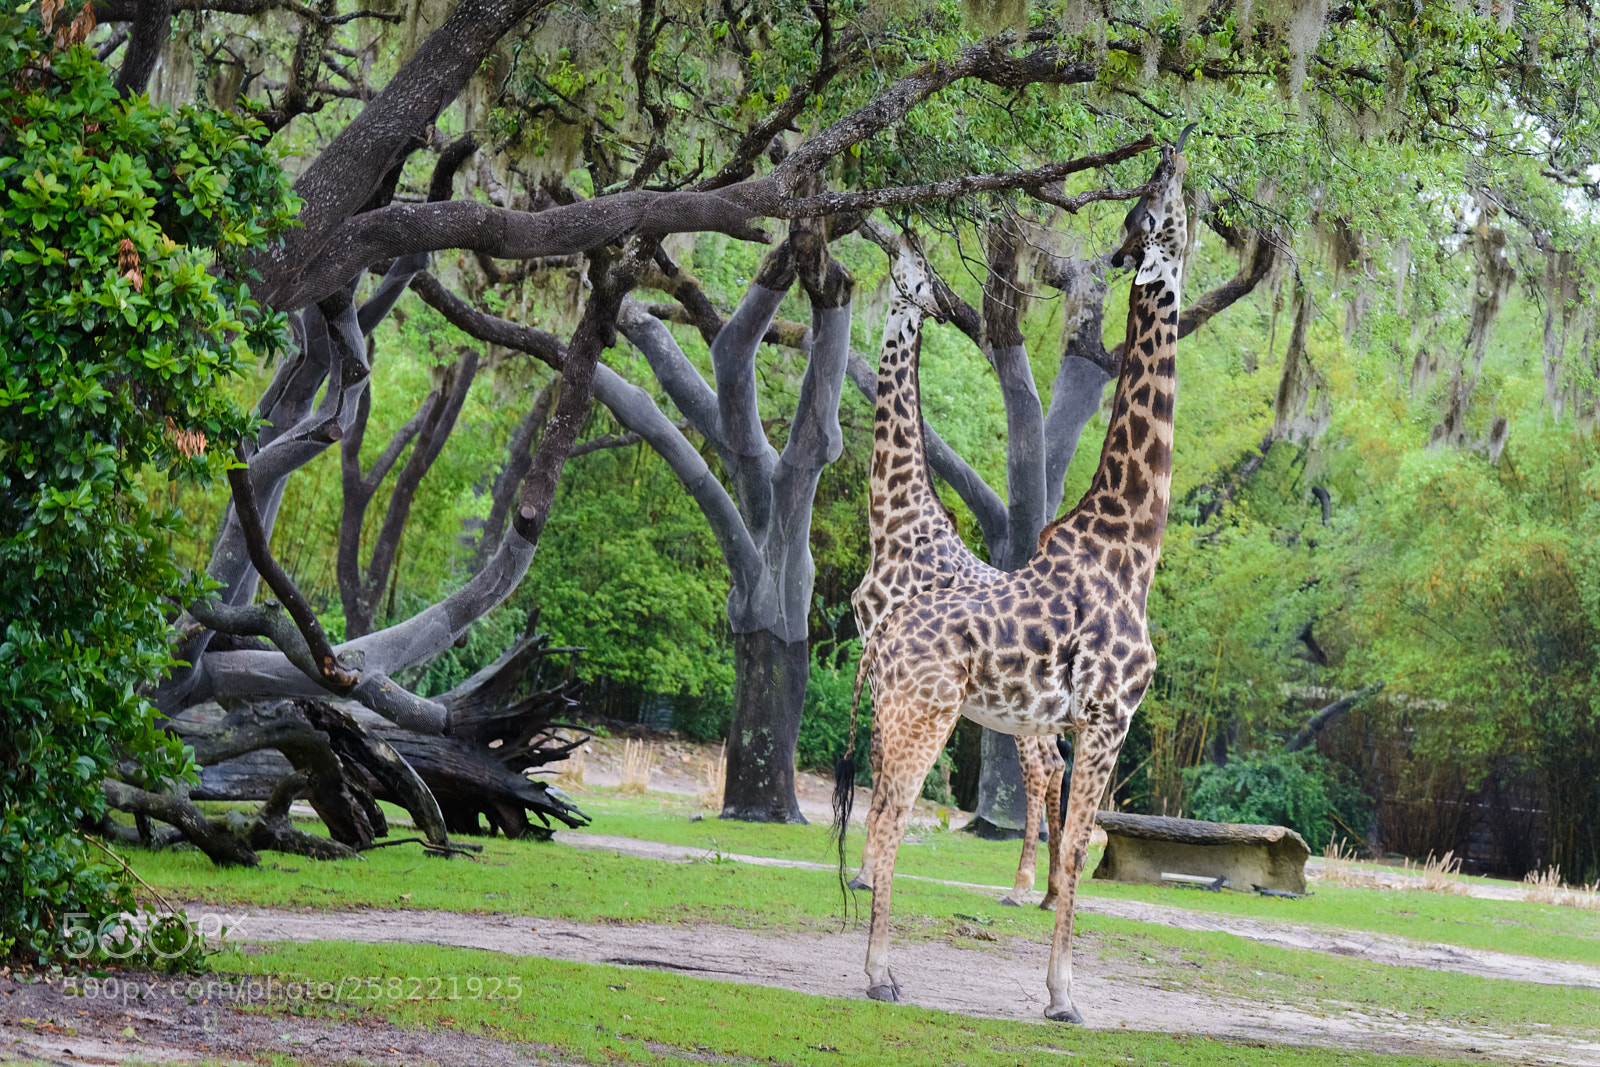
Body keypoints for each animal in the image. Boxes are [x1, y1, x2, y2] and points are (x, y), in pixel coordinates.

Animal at [843, 234, 1067, 908]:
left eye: (916, 271)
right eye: (904, 258)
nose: (894, 236)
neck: (893, 519)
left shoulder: (882, 652)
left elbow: (880, 761)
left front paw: (866, 874)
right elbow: (883, 763)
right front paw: (867, 870)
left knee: (1041, 767)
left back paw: (1022, 887)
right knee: (1056, 765)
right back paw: (1048, 891)